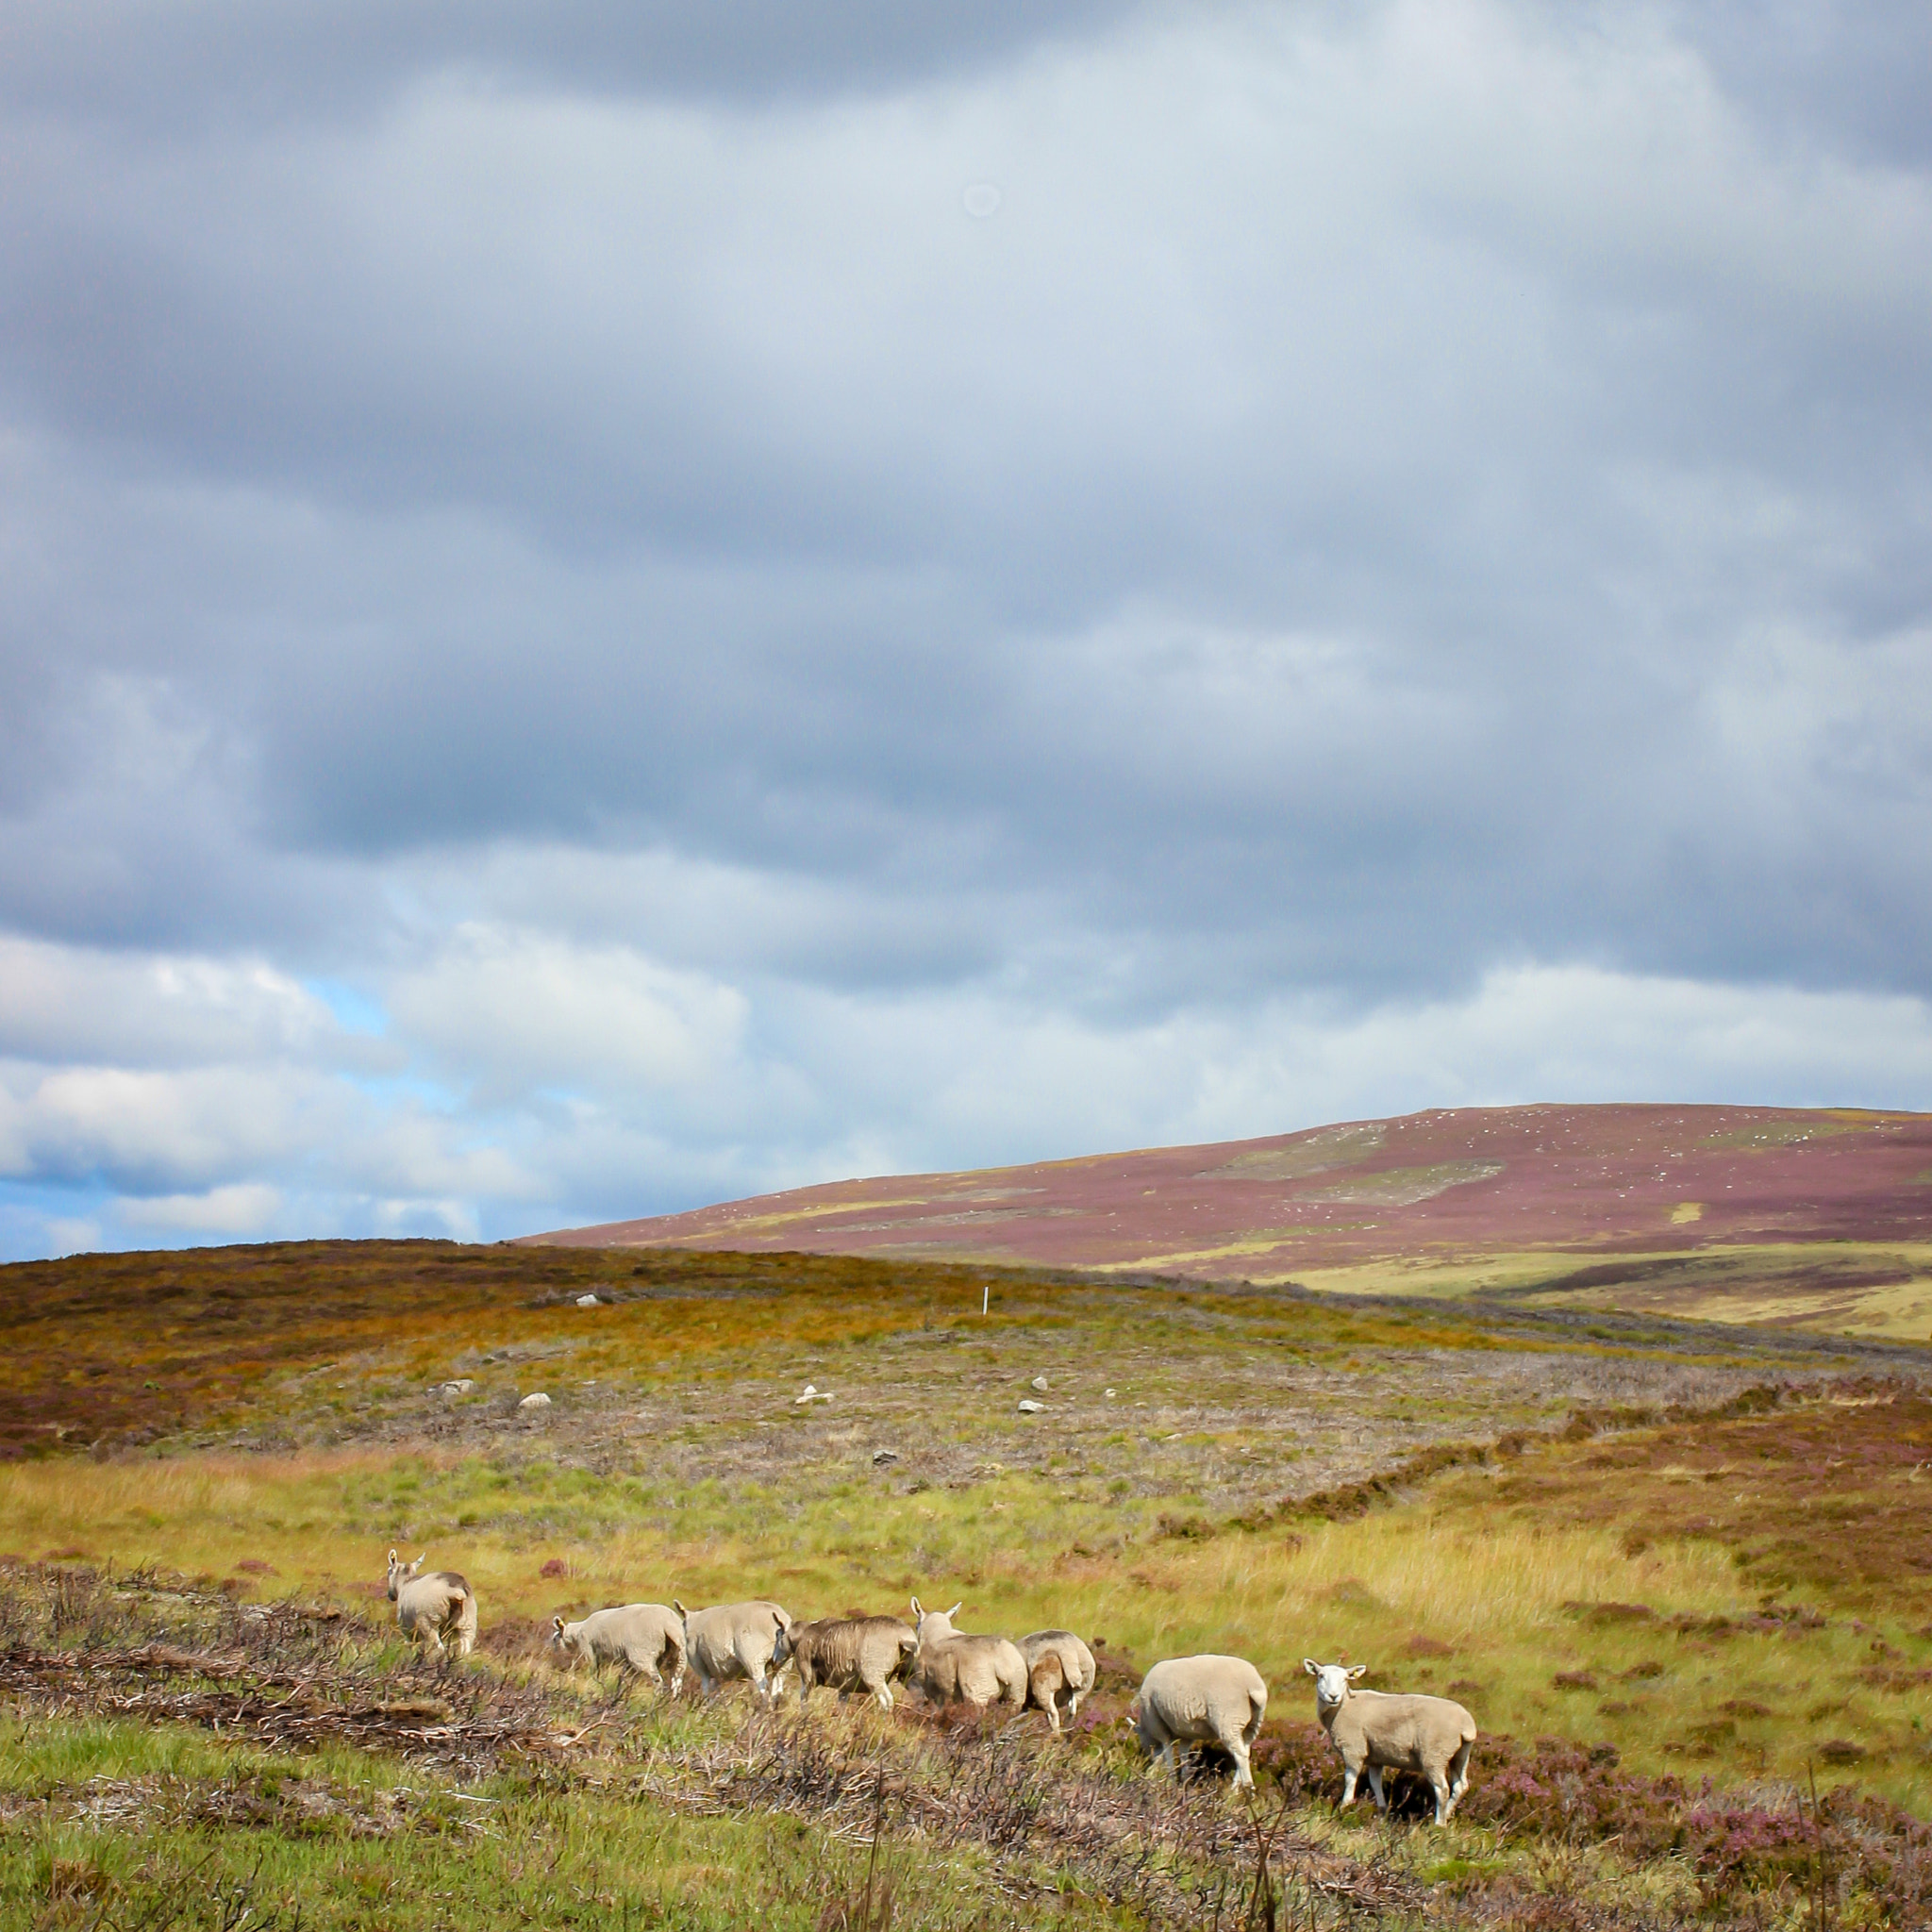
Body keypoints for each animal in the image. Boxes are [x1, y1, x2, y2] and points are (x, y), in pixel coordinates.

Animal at [544, 1599, 688, 1692]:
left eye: (555, 1639)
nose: (554, 1654)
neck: (578, 1632)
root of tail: (668, 1623)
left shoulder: (588, 1651)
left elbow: (591, 1671)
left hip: (642, 1652)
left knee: (658, 1680)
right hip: (679, 1654)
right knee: (677, 1681)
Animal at [773, 1607, 915, 1715]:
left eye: (777, 1635)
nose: (774, 1660)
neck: (803, 1634)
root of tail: (903, 1635)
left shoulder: (807, 1673)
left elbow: (803, 1698)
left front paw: (804, 1717)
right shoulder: (844, 1683)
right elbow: (841, 1705)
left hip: (874, 1674)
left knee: (887, 1701)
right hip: (911, 1674)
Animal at [1128, 1654, 1267, 1785]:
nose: (1150, 1759)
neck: (1146, 1726)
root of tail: (1253, 1685)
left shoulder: (1158, 1726)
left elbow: (1168, 1753)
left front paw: (1171, 1782)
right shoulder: (1187, 1733)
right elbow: (1183, 1755)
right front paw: (1184, 1781)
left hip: (1229, 1719)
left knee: (1240, 1755)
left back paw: (1247, 1787)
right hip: (1253, 1724)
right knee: (1246, 1752)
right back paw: (1234, 1790)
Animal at [1306, 1661, 1483, 1824]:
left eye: (1345, 1679)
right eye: (1321, 1676)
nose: (1333, 1696)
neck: (1344, 1705)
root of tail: (1466, 1724)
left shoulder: (1353, 1749)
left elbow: (1350, 1779)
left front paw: (1343, 1809)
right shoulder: (1375, 1758)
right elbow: (1375, 1783)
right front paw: (1382, 1812)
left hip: (1434, 1755)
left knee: (1442, 1789)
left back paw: (1439, 1824)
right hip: (1460, 1754)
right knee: (1461, 1786)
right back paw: (1447, 1815)